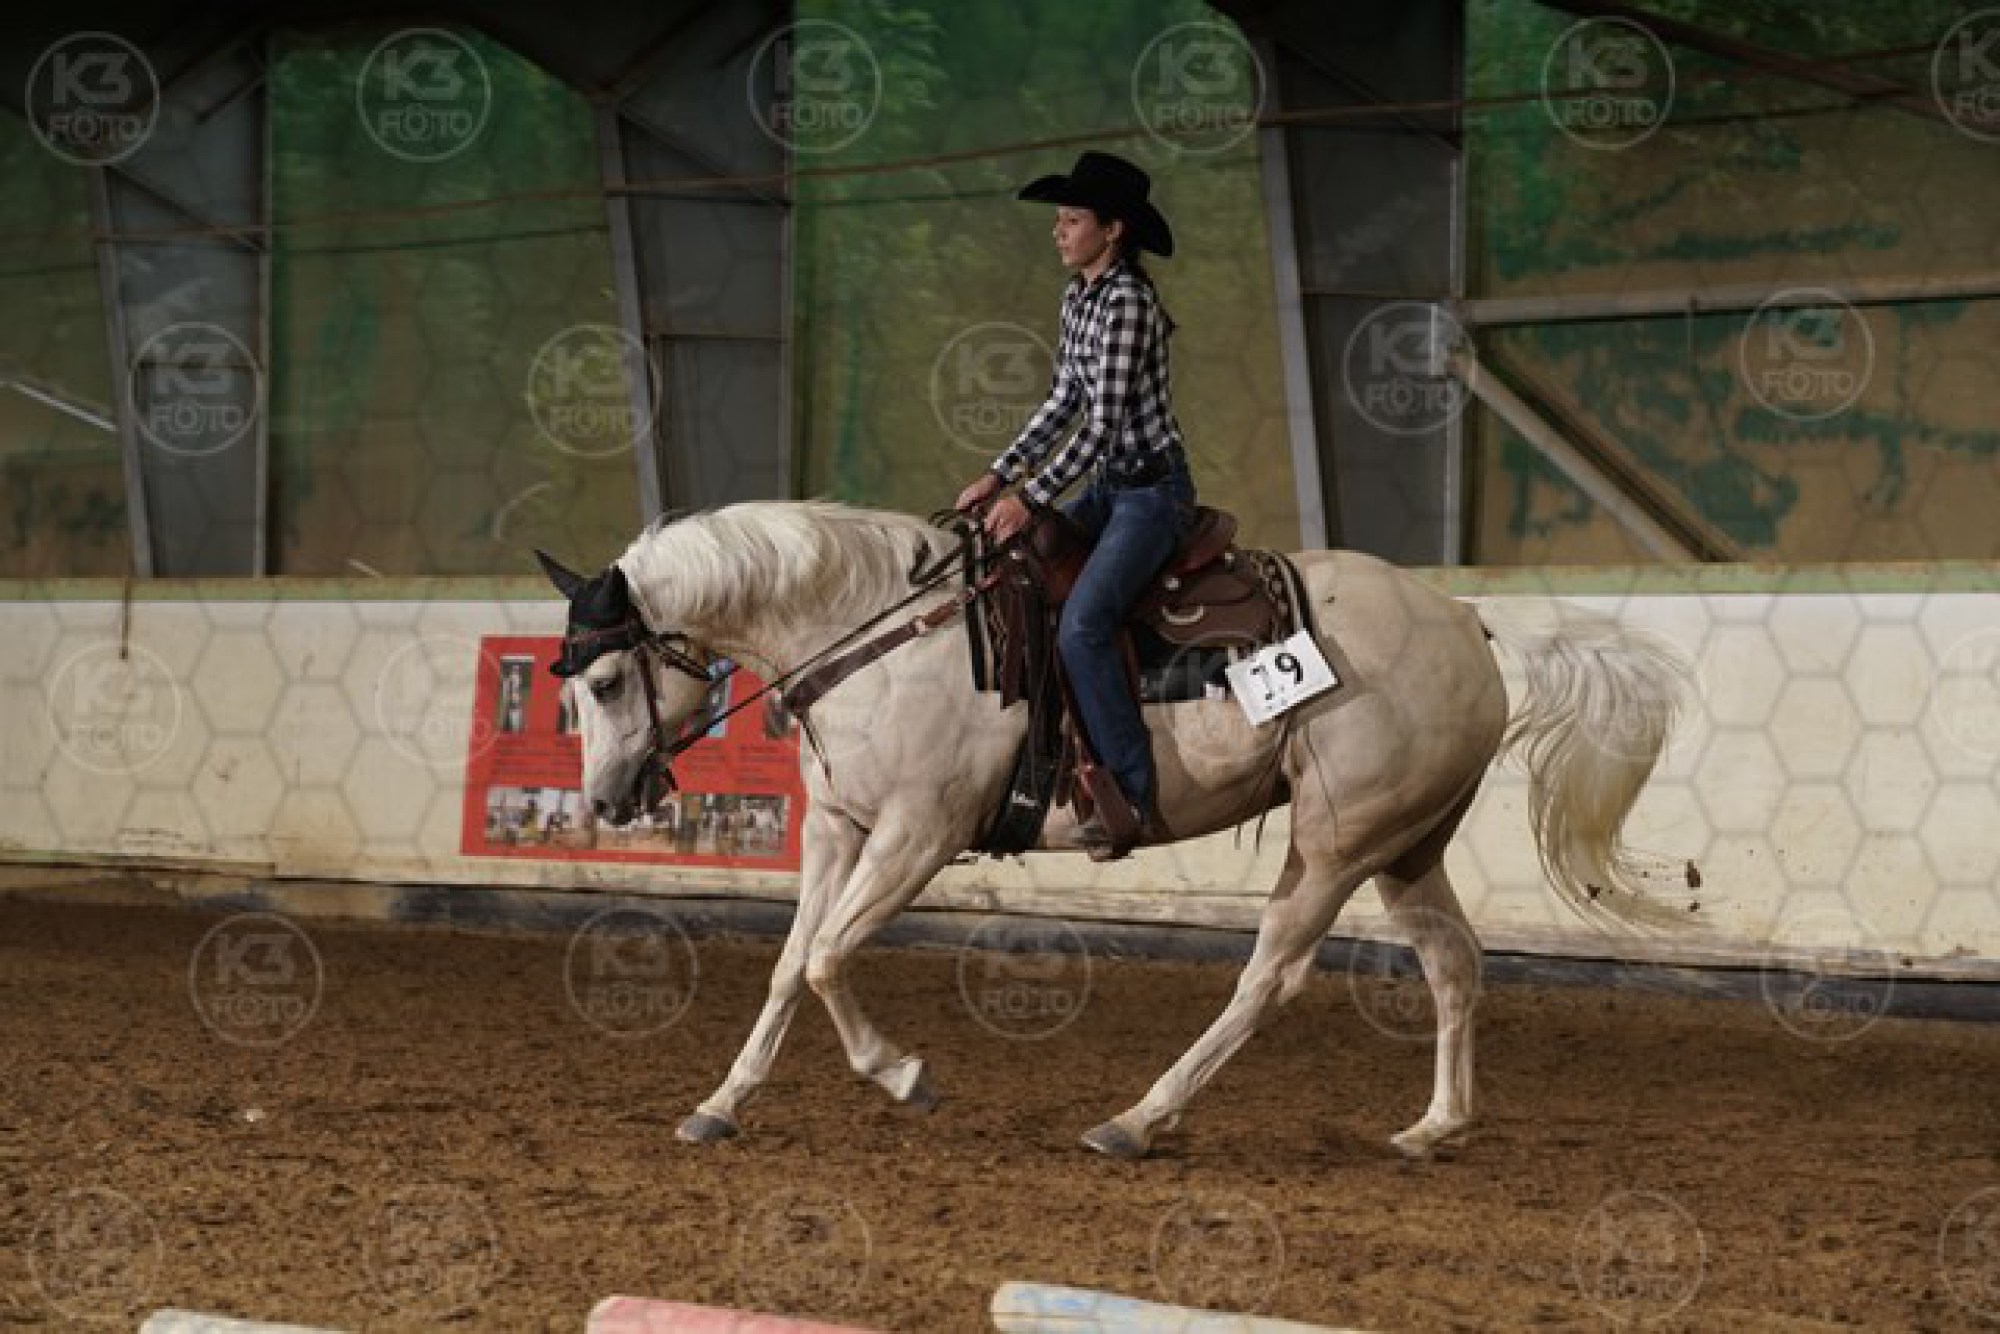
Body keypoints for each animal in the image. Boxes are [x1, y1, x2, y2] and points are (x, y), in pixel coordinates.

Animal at [536, 500, 1689, 1160]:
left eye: (606, 679)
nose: (608, 798)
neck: (872, 628)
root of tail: (1465, 621)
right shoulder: (837, 828)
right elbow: (789, 965)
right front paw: (720, 1102)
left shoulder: (917, 831)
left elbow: (825, 958)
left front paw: (903, 1075)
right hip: (1404, 847)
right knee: (1453, 963)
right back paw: (1434, 1126)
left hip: (1333, 846)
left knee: (1270, 976)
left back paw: (1138, 1118)